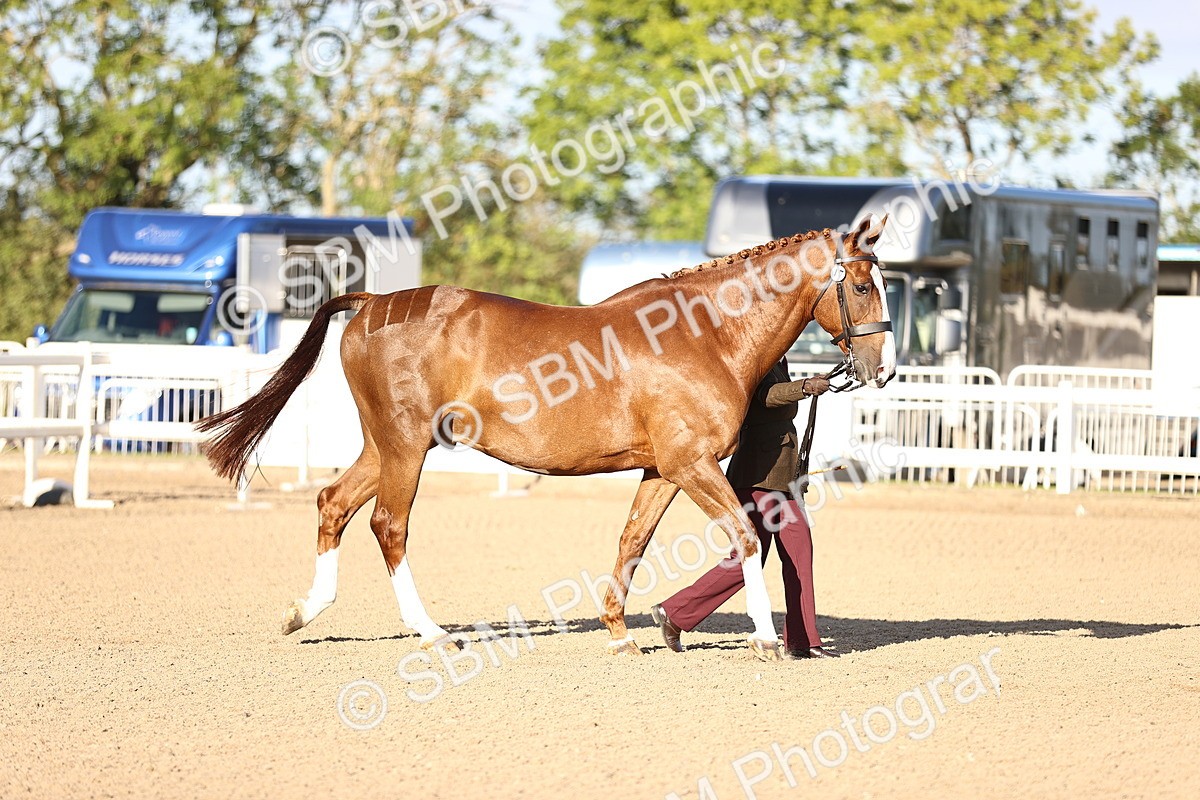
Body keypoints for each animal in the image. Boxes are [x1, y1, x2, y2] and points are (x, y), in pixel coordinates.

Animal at [197, 216, 896, 660]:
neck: (704, 333)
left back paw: (304, 611)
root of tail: (371, 302)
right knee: (388, 526)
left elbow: (632, 541)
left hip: (386, 446)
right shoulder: (691, 464)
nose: (882, 369)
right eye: (863, 286)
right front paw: (766, 640)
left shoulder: (661, 470)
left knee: (334, 504)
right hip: (404, 447)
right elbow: (746, 535)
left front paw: (621, 632)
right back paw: (430, 631)